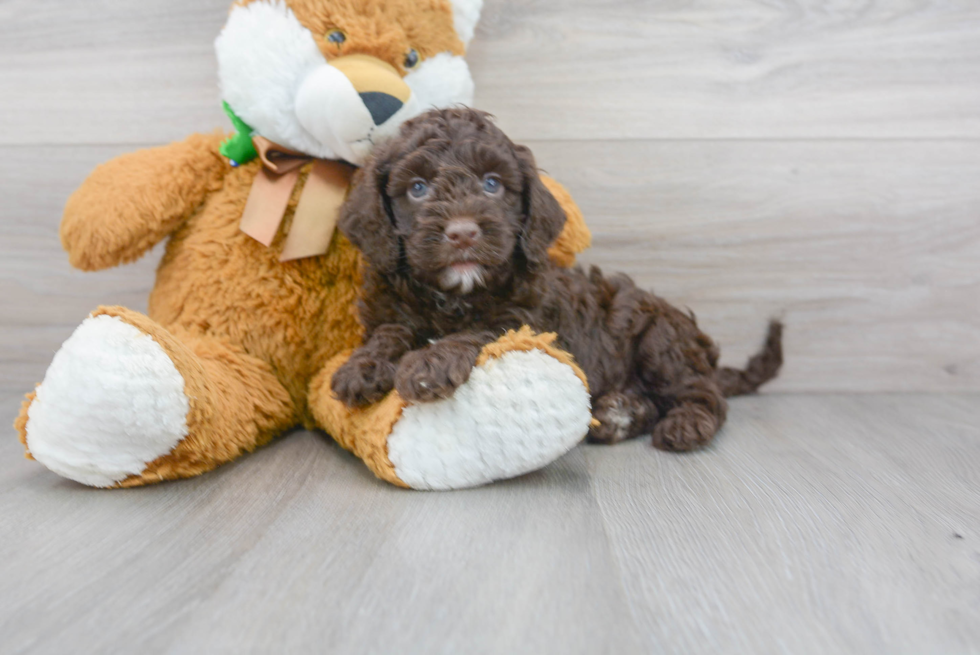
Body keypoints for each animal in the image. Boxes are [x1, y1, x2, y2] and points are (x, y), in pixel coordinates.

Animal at [334, 110, 784, 454]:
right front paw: (362, 366)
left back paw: (684, 424)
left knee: (704, 394)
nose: (462, 233)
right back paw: (619, 413)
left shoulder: (529, 318)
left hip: (662, 342)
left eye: (492, 183)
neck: (453, 296)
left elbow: (481, 331)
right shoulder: (387, 307)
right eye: (418, 188)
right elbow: (390, 331)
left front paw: (430, 363)